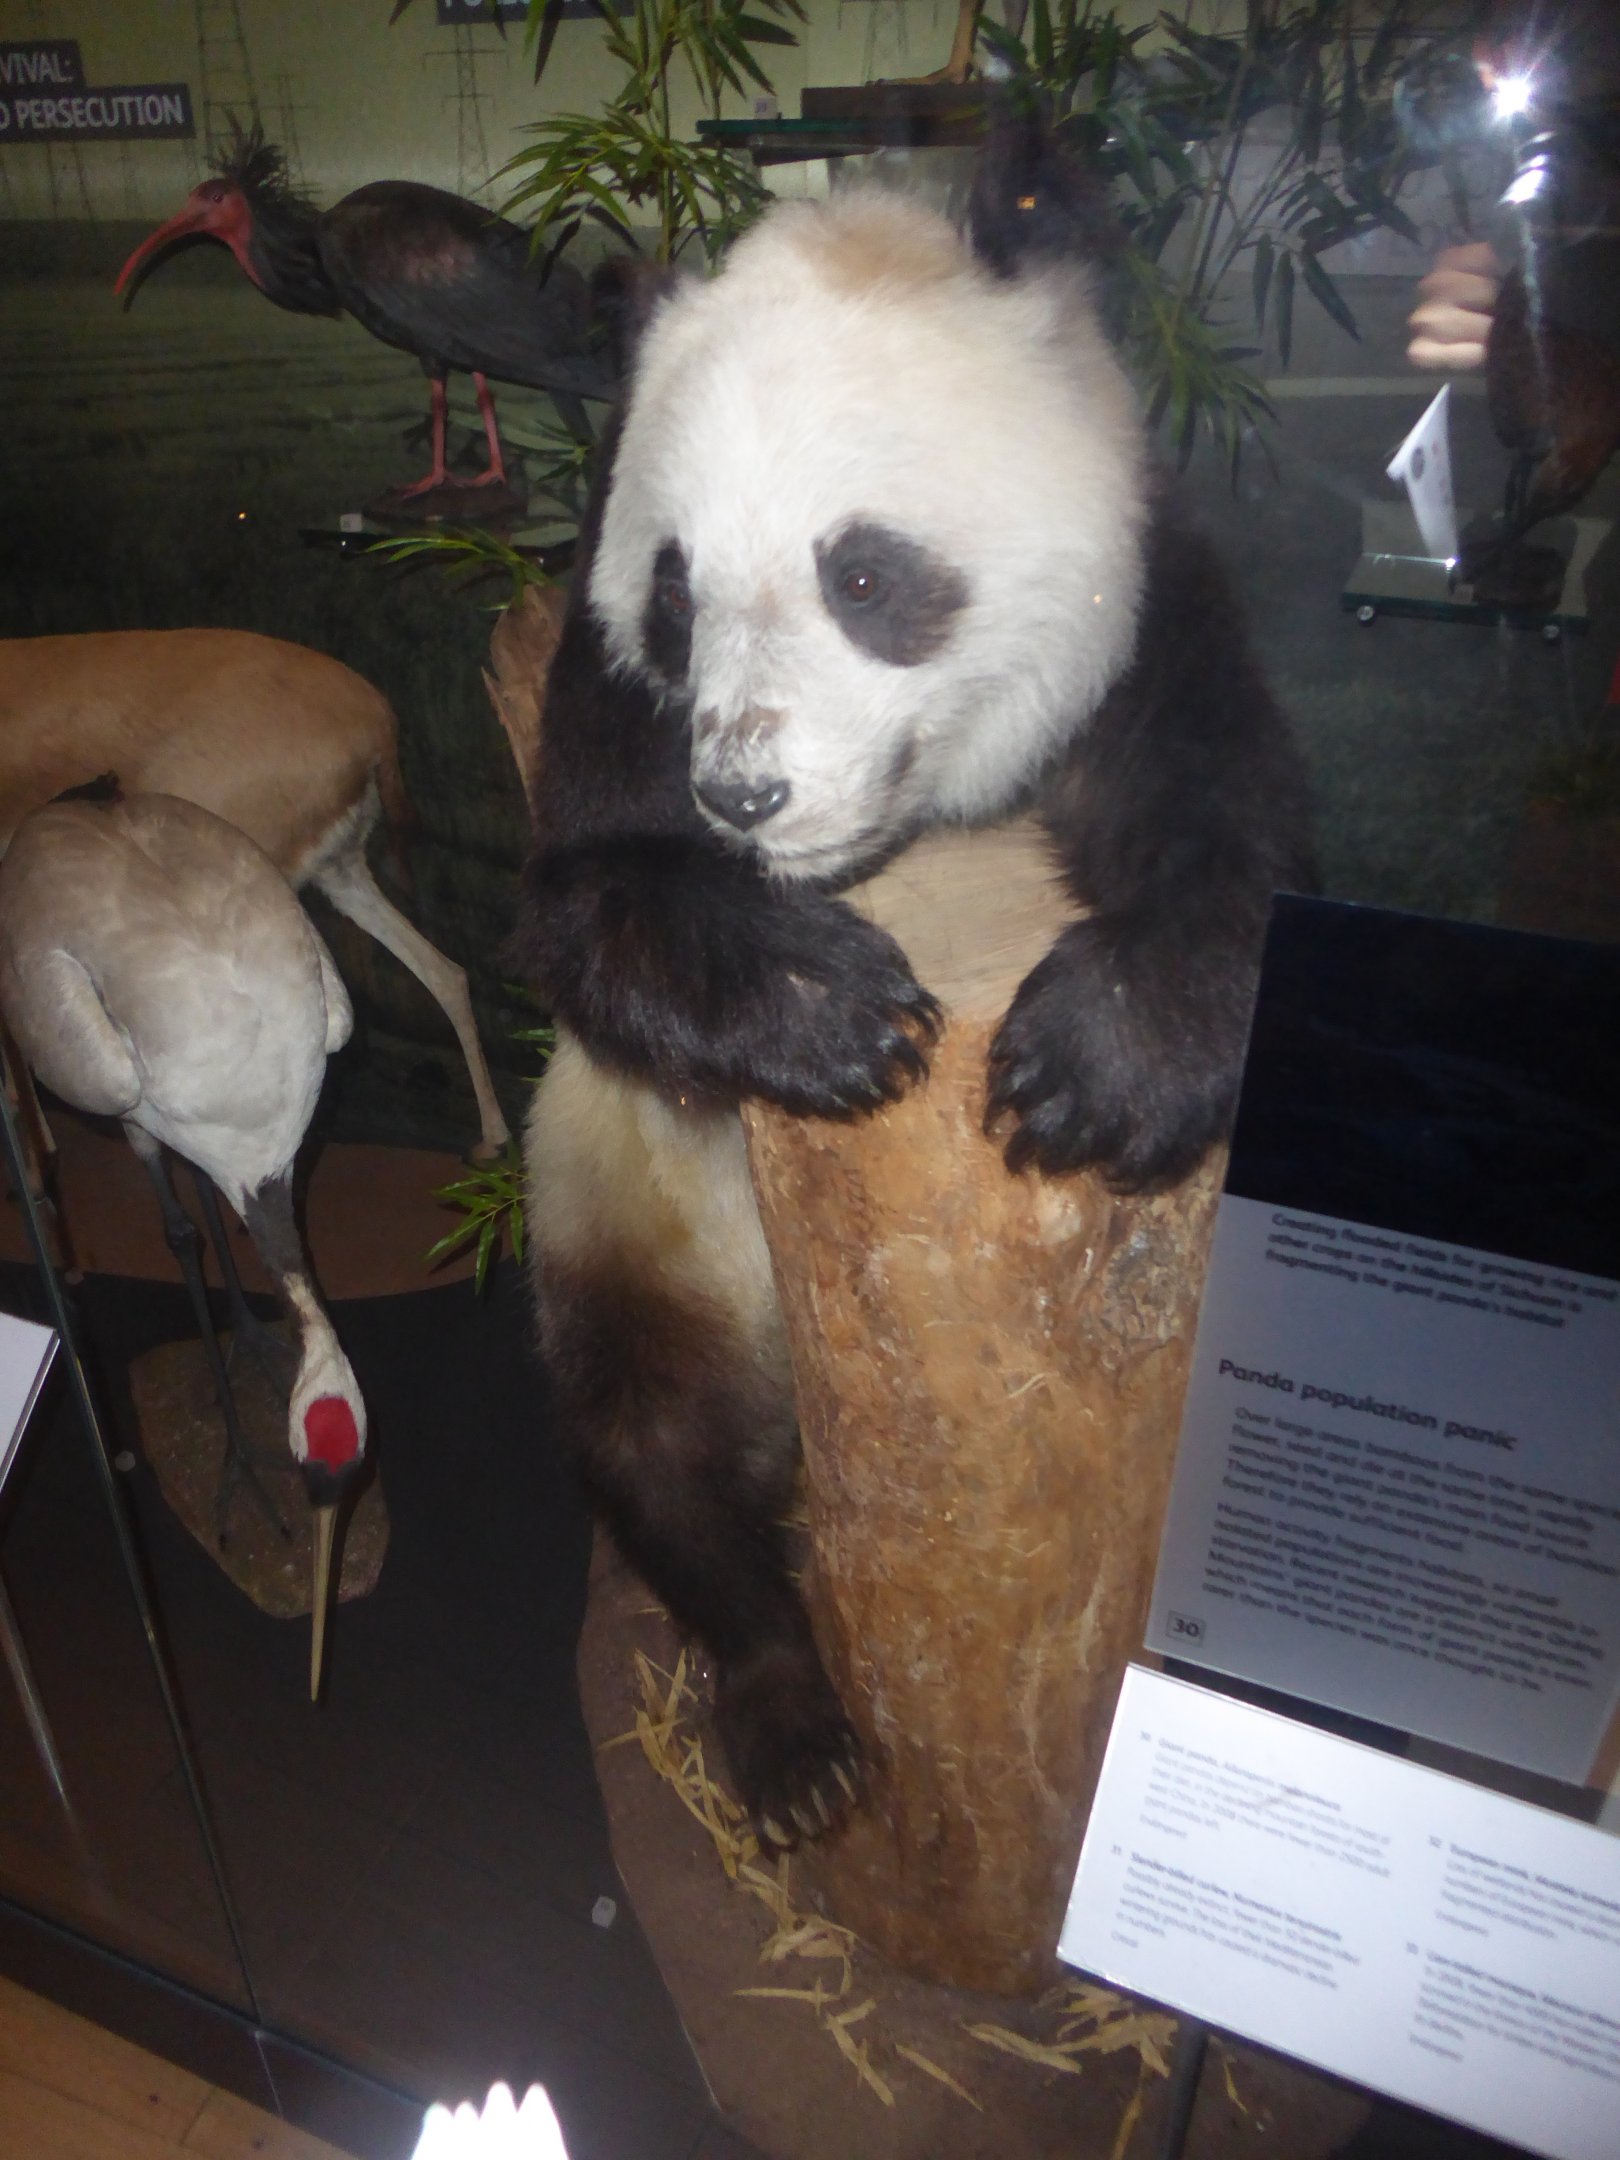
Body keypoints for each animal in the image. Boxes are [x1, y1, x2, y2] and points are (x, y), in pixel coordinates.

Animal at [516, 128, 1315, 1850]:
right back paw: (791, 1720)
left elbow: (1232, 810)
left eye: (866, 574)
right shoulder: (607, 674)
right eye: (676, 594)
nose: (745, 795)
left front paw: (1105, 1066)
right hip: (617, 1219)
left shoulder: (1141, 597)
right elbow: (588, 903)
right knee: (651, 1450)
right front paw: (839, 1014)